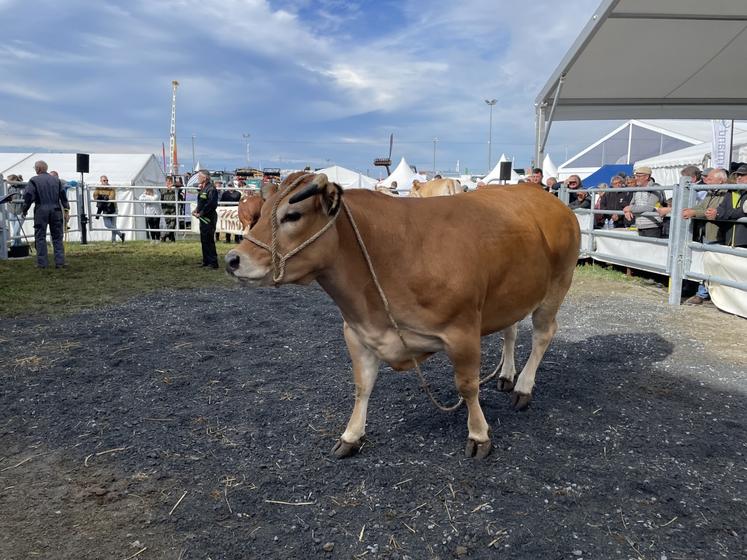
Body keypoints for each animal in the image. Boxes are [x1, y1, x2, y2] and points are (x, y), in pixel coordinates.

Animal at [225, 172, 580, 460]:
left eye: (293, 215)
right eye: (259, 215)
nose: (232, 259)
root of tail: (546, 198)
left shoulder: (463, 331)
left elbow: (467, 386)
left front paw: (479, 435)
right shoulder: (357, 332)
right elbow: (362, 385)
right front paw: (351, 435)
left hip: (557, 284)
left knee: (543, 334)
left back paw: (523, 387)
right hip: (512, 293)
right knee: (511, 330)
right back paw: (506, 375)